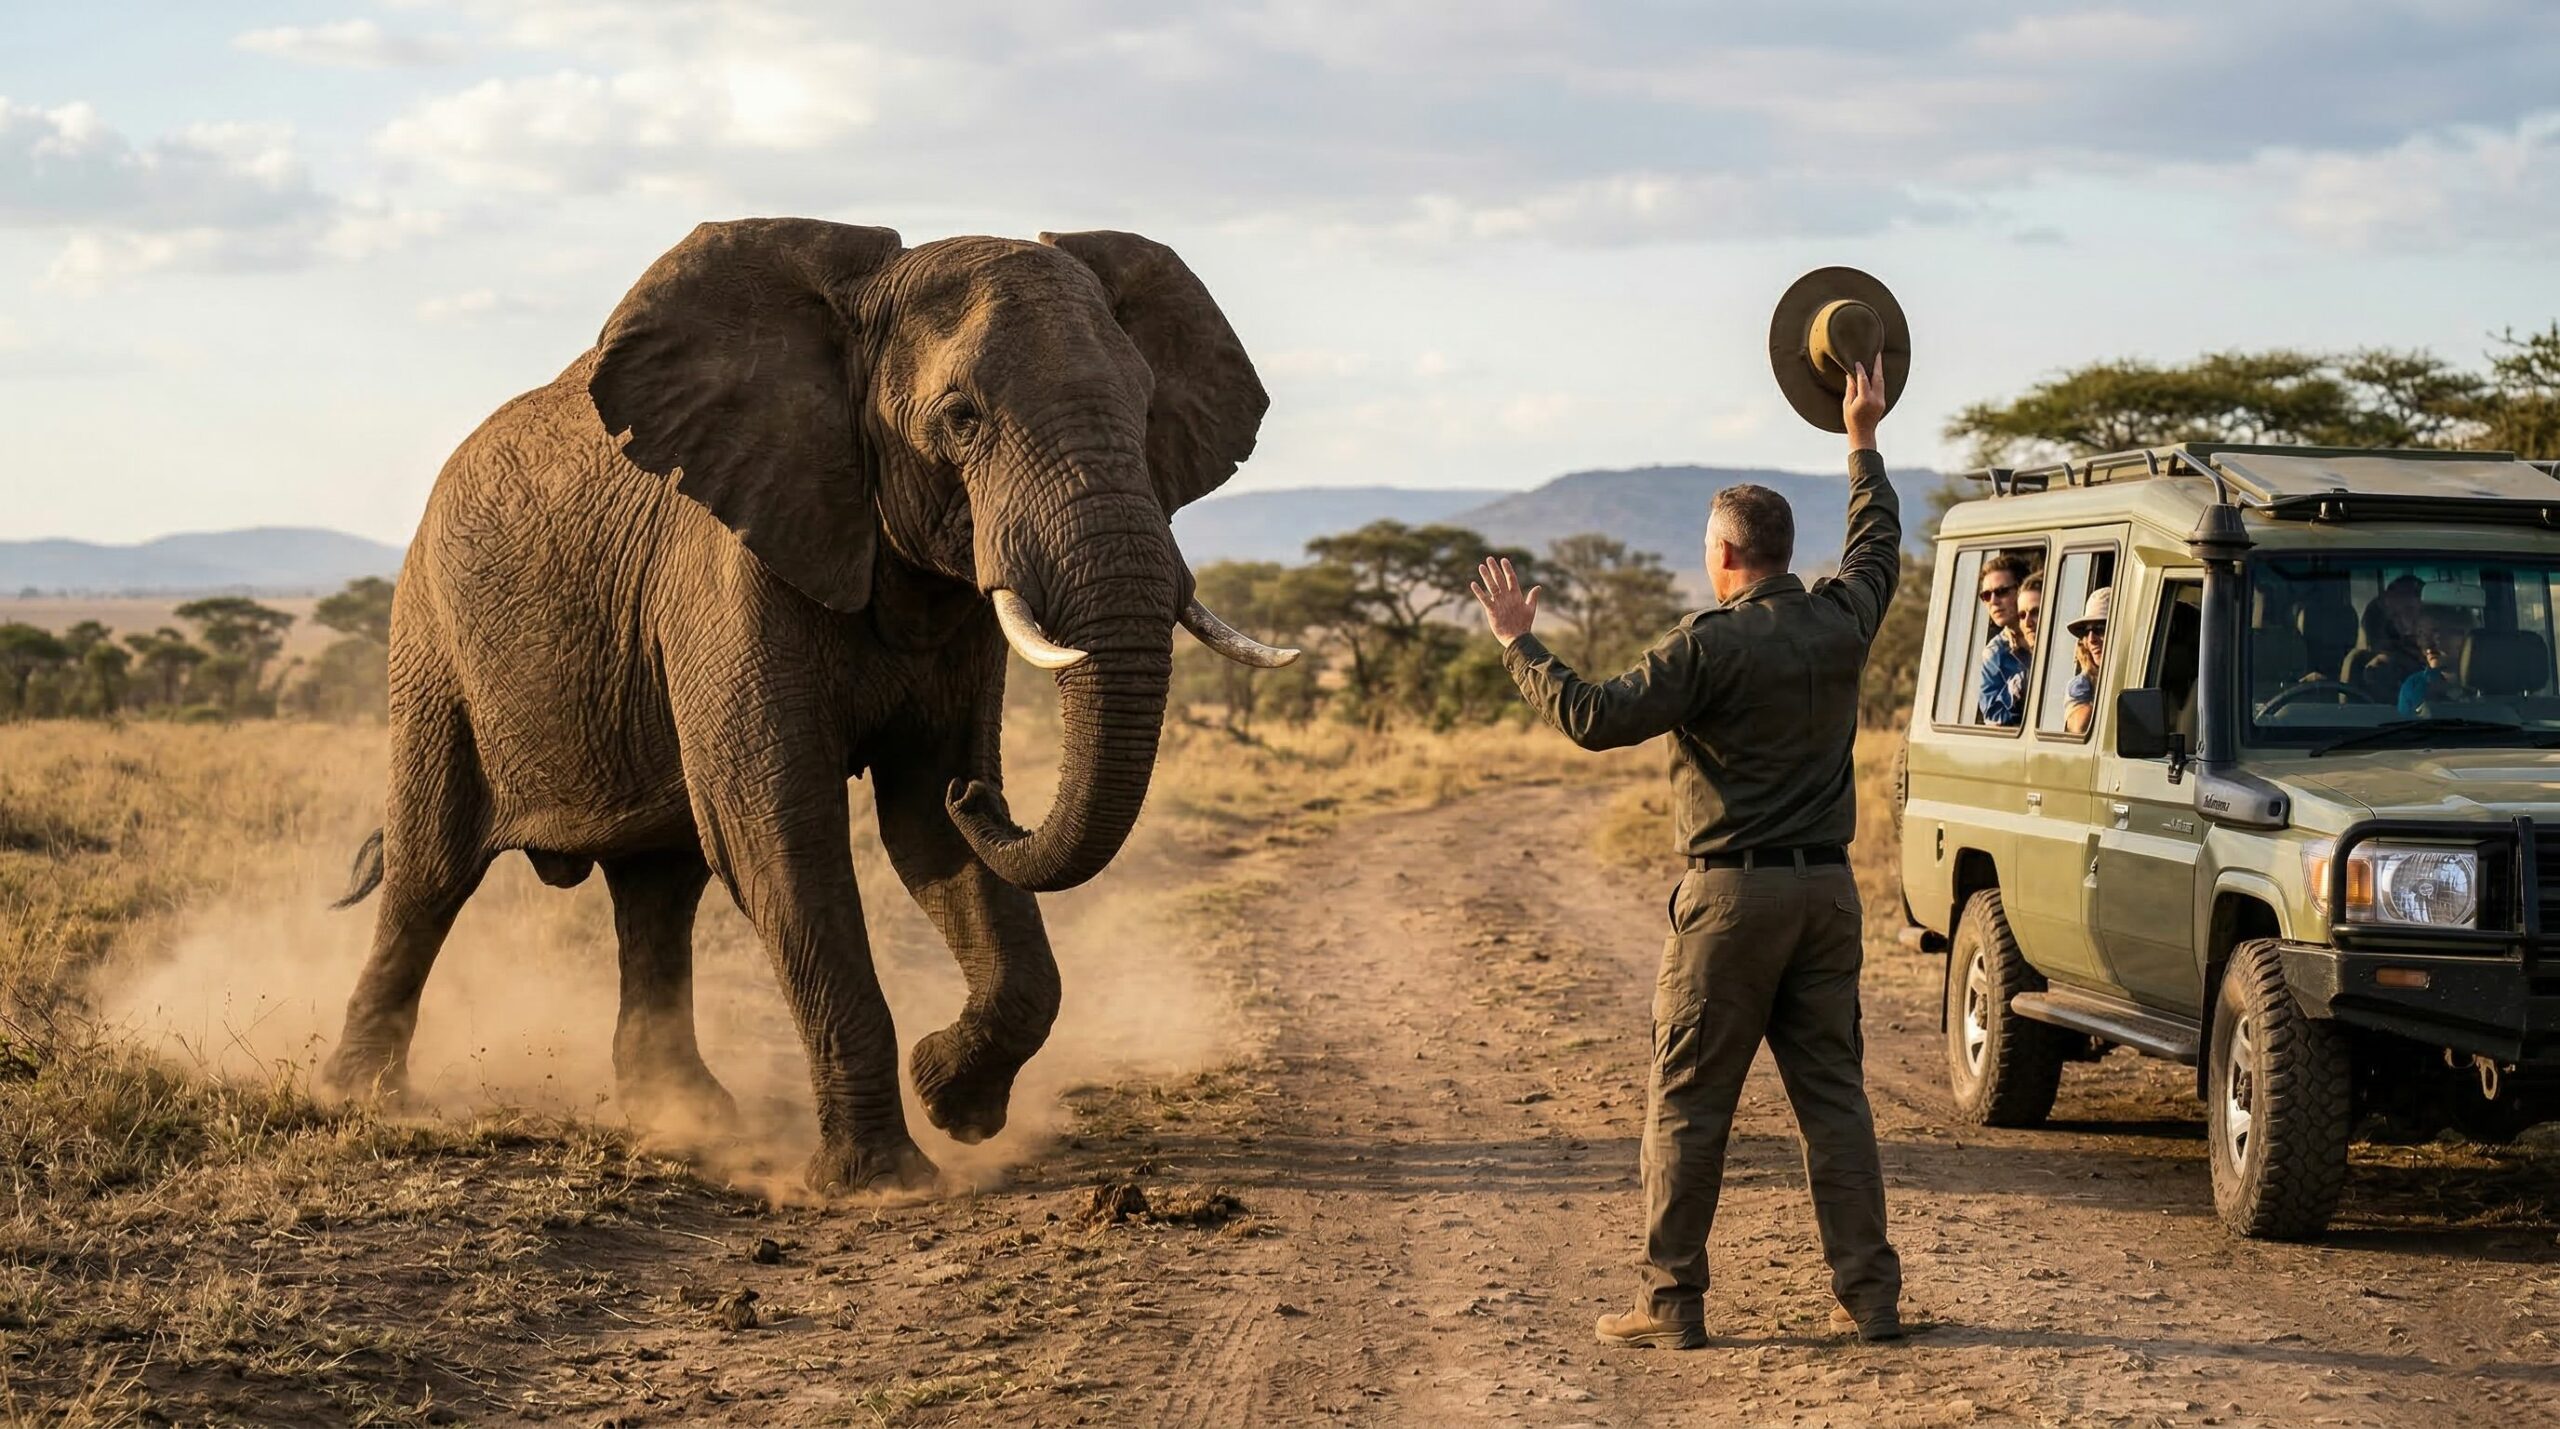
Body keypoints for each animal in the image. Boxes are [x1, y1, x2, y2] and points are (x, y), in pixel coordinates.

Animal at [320, 219, 1296, 1192]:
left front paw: (953, 1099)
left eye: (1146, 410)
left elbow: (922, 825)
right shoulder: (727, 568)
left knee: (658, 887)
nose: (985, 794)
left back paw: (686, 1118)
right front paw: (882, 1182)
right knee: (431, 868)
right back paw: (360, 1099)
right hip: (431, 645)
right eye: (961, 419)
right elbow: (776, 828)